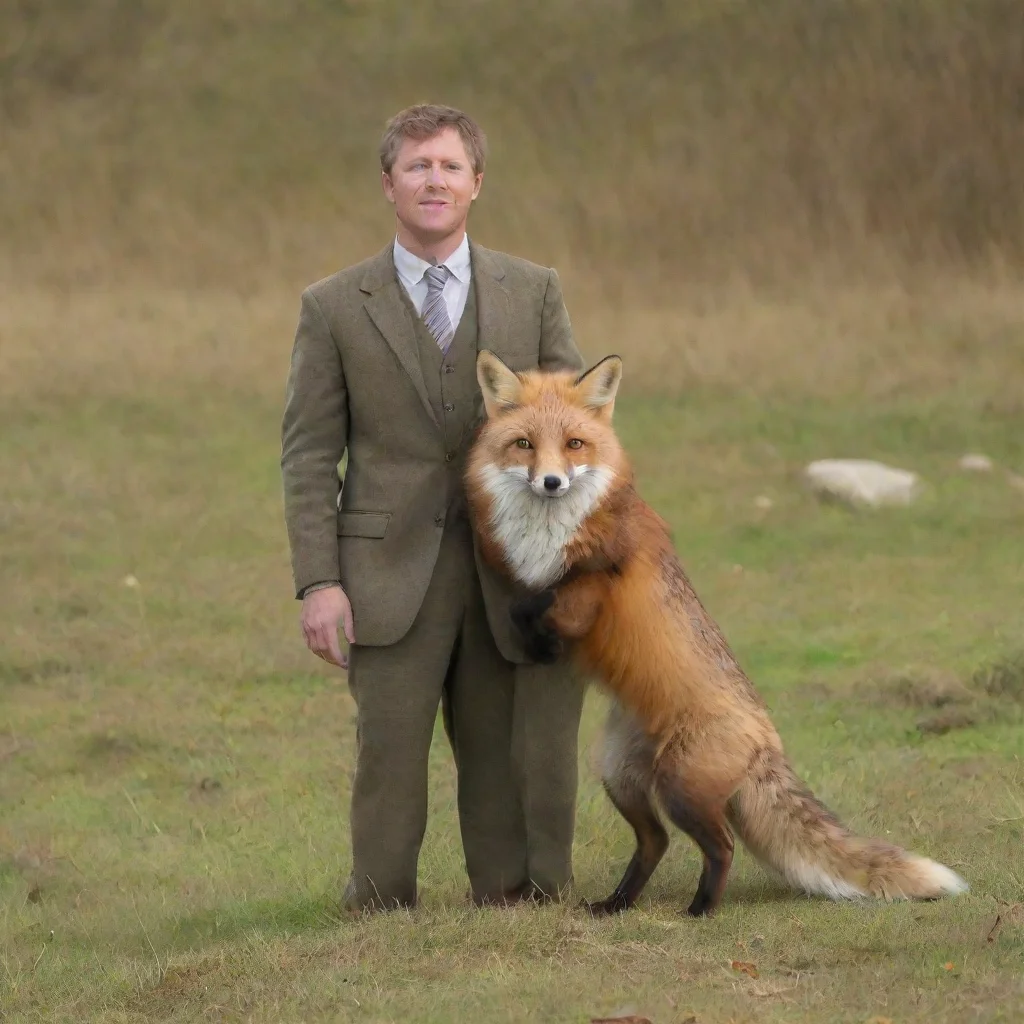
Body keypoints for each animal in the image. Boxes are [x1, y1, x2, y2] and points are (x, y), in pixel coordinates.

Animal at [464, 349, 968, 918]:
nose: (551, 482)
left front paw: (545, 642)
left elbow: (540, 607)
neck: (550, 532)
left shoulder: (590, 588)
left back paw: (700, 910)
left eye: (574, 444)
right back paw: (617, 904)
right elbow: (526, 605)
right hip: (620, 774)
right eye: (524, 444)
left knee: (722, 846)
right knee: (656, 841)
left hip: (680, 787)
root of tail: (768, 741)